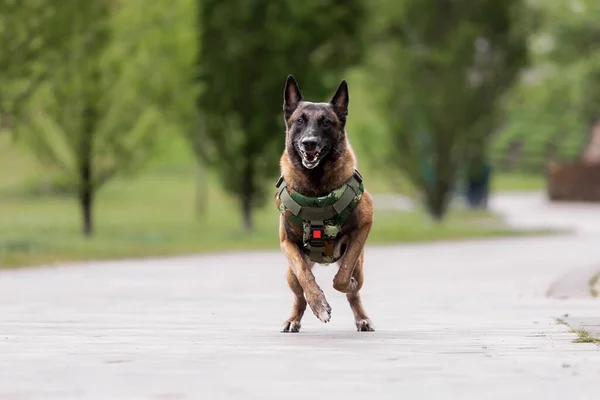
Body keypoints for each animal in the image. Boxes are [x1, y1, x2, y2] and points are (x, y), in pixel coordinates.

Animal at [274, 74, 372, 332]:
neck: (316, 184)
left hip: (361, 266)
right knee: (299, 294)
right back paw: (293, 319)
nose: (309, 143)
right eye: (300, 120)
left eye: (326, 122)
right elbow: (305, 277)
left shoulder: (364, 226)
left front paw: (346, 284)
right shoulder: (287, 243)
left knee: (354, 291)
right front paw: (319, 305)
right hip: (289, 276)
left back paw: (362, 317)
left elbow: (343, 276)